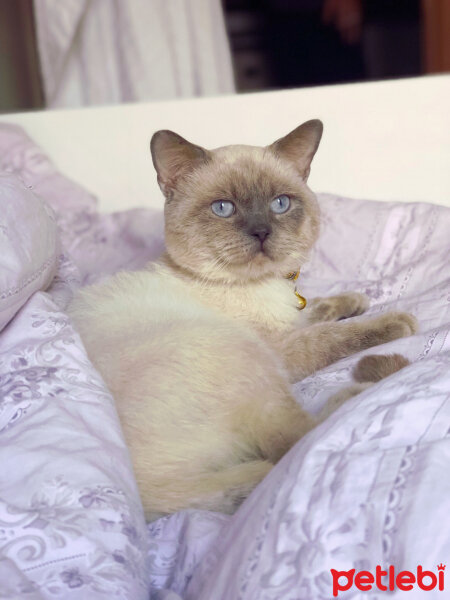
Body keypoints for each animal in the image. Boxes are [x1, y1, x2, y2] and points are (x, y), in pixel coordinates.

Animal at [67, 122, 418, 520]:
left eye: (280, 204)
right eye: (223, 208)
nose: (262, 232)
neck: (267, 284)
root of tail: (139, 497)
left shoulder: (290, 319)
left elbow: (318, 309)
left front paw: (355, 300)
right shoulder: (282, 348)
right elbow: (331, 335)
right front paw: (398, 321)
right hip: (245, 354)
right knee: (297, 443)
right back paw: (360, 394)